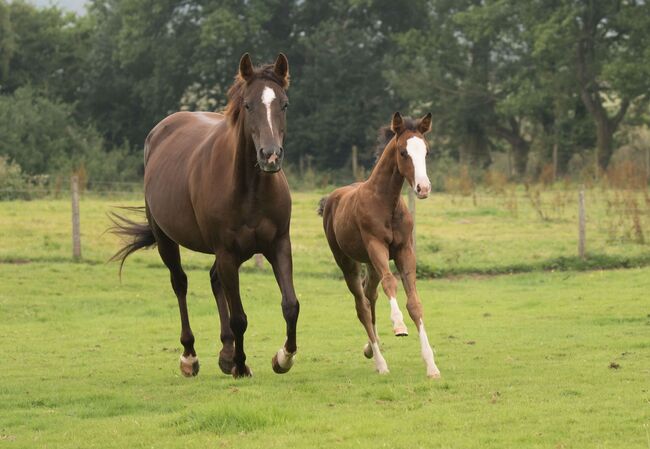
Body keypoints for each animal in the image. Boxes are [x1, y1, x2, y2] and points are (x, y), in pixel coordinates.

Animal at [111, 53, 298, 378]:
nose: (270, 156)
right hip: (167, 241)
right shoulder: (226, 252)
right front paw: (241, 366)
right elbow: (239, 317)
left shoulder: (278, 245)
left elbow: (290, 305)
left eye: (284, 104)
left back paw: (226, 352)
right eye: (248, 105)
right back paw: (190, 356)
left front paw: (282, 358)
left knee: (214, 281)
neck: (250, 188)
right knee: (180, 284)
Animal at [318, 112, 440, 378]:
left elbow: (415, 303)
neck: (387, 202)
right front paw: (399, 325)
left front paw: (432, 366)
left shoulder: (405, 251)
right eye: (403, 152)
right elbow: (390, 283)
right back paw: (381, 363)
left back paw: (370, 350)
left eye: (426, 151)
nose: (423, 188)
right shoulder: (376, 246)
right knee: (362, 305)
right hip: (347, 262)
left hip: (370, 264)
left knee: (369, 293)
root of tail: (331, 199)